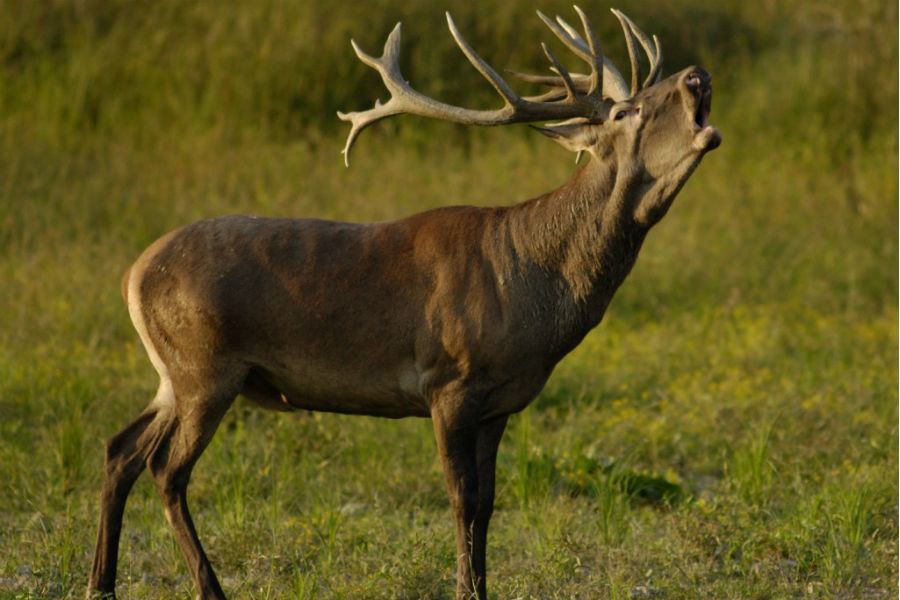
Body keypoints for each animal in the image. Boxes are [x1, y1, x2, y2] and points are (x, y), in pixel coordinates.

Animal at [88, 5, 720, 600]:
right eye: (624, 112)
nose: (698, 75)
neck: (537, 291)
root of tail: (132, 275)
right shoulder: (449, 382)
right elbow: (463, 499)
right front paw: (465, 589)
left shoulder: (501, 403)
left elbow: (490, 504)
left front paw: (482, 585)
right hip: (206, 367)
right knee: (166, 469)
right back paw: (208, 586)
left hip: (173, 374)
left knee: (121, 448)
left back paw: (102, 581)